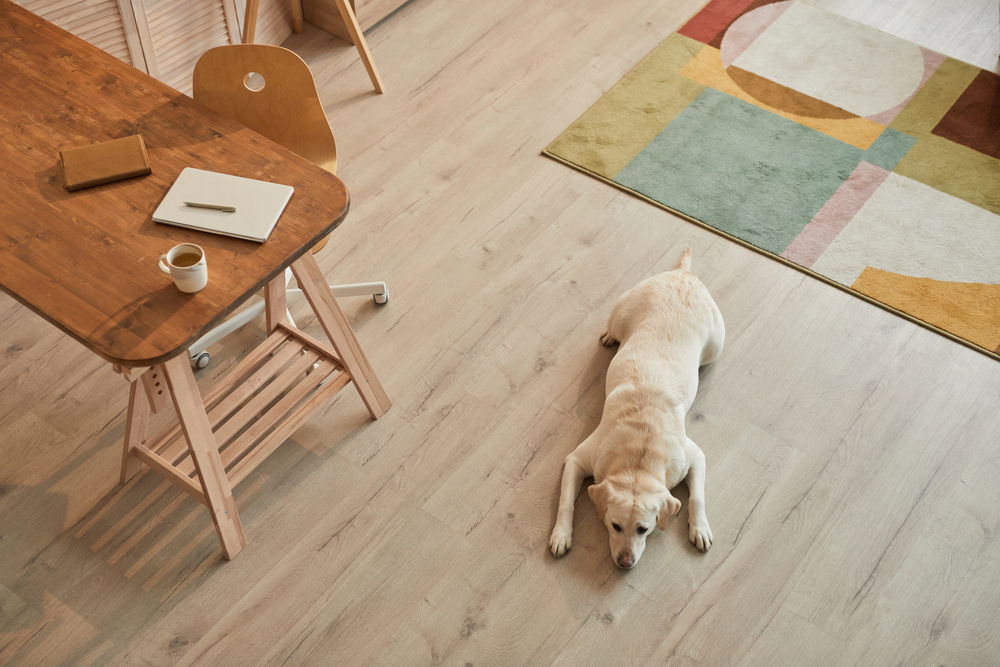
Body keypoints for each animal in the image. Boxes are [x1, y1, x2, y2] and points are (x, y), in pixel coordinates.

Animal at [552, 250, 724, 568]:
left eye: (644, 529)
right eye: (615, 525)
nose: (625, 562)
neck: (639, 453)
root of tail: (684, 274)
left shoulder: (694, 456)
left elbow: (697, 497)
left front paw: (700, 528)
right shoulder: (576, 460)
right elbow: (566, 502)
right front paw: (561, 535)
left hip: (716, 345)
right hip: (619, 313)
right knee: (613, 328)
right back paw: (609, 336)